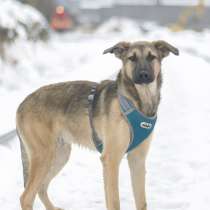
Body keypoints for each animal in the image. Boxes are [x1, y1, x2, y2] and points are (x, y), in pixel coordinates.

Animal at [16, 39, 179, 210]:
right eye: (132, 58)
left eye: (151, 57)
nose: (143, 75)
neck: (136, 101)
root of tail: (22, 103)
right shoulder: (111, 160)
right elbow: (114, 201)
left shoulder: (137, 160)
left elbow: (141, 202)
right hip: (44, 156)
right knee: (26, 196)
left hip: (59, 155)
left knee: (41, 188)